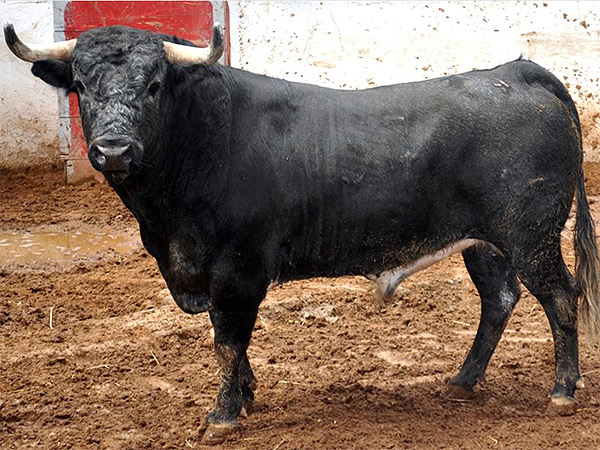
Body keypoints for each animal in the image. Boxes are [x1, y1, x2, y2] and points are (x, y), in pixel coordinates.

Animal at [5, 23, 600, 444]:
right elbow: (232, 346)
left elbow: (228, 341)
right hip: (485, 243)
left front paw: (223, 416)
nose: (114, 150)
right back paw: (462, 381)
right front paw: (246, 395)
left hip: (531, 236)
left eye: (153, 86)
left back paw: (562, 391)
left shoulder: (237, 272)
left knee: (560, 299)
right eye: (82, 86)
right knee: (500, 298)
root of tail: (518, 72)